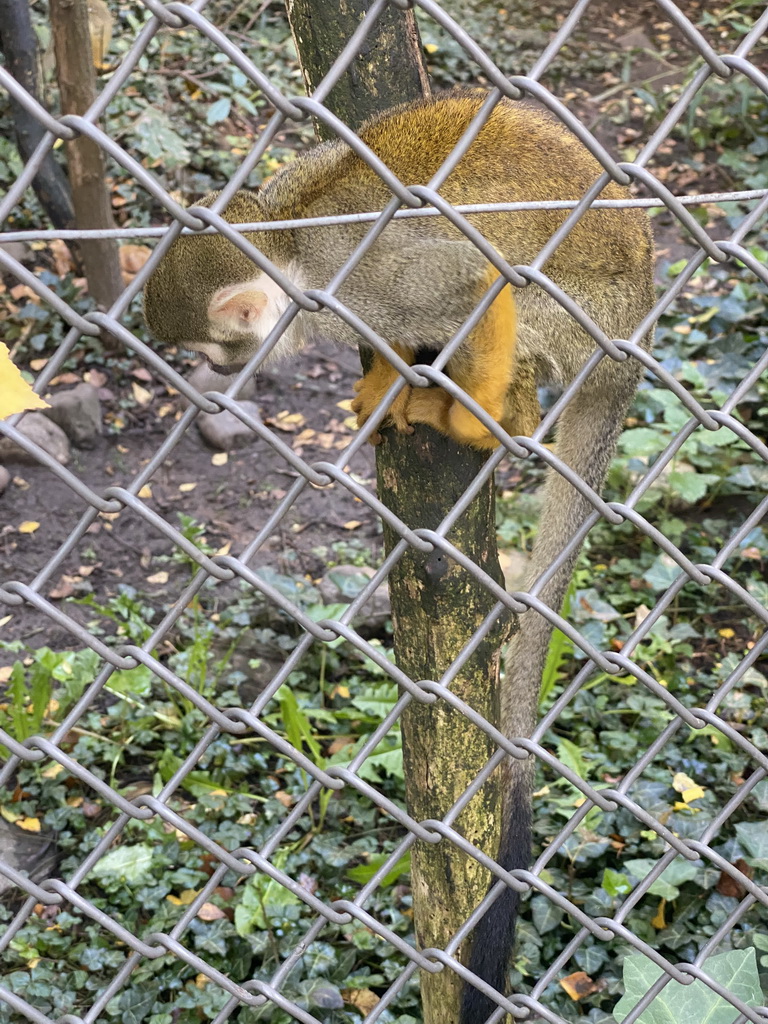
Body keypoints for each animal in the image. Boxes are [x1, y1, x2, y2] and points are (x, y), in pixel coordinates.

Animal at [144, 90, 655, 1024]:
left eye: (207, 351)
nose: (209, 382)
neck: (294, 239)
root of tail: (635, 320)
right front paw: (383, 379)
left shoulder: (373, 280)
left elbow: (474, 279)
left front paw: (444, 396)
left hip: (583, 319)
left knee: (514, 297)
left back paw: (489, 416)